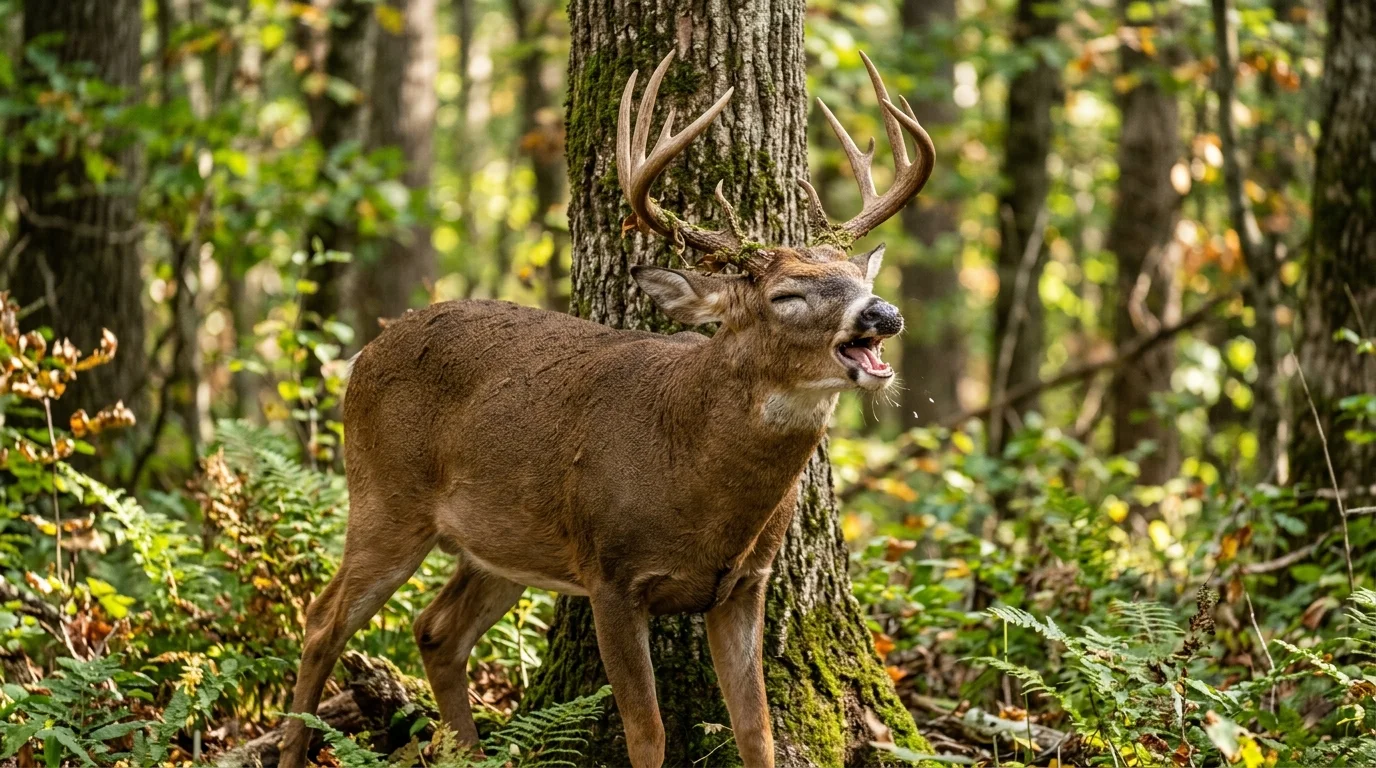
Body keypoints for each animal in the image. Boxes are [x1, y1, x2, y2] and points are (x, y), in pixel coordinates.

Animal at [280, 50, 932, 768]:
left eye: (860, 278)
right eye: (787, 295)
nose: (883, 313)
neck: (696, 475)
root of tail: (364, 354)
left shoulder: (743, 584)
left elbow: (755, 730)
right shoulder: (610, 572)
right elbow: (647, 734)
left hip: (504, 541)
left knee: (435, 630)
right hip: (384, 496)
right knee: (323, 619)